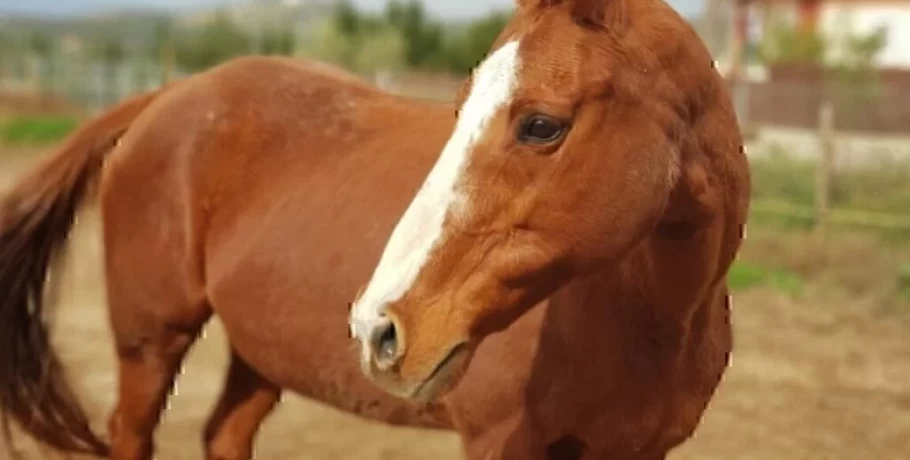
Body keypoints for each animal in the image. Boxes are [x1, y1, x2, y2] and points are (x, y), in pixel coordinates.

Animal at [3, 0, 752, 458]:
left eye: (541, 124)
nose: (378, 328)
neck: (646, 321)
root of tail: (169, 95)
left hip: (259, 355)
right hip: (151, 341)